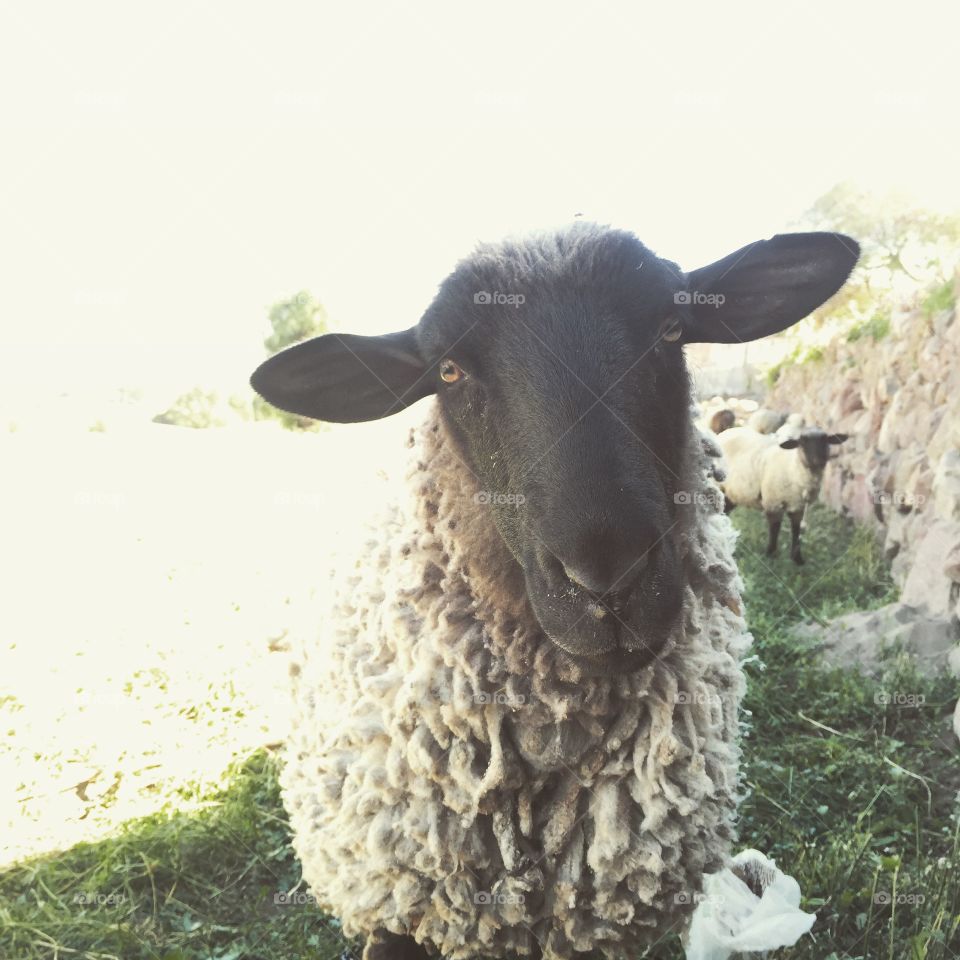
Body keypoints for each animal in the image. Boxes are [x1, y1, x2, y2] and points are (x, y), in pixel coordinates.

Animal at [717, 426, 848, 564]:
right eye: (802, 442)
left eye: (826, 440)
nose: (818, 461)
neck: (794, 469)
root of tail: (726, 432)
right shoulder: (773, 503)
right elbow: (775, 529)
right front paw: (770, 554)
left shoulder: (798, 508)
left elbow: (796, 530)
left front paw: (797, 559)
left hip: (731, 493)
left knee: (725, 512)